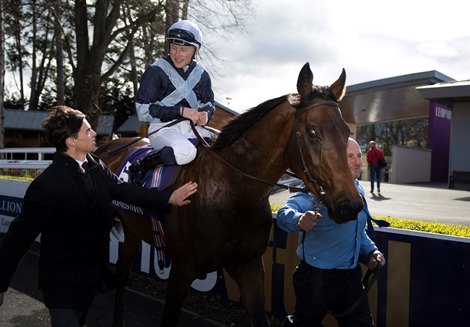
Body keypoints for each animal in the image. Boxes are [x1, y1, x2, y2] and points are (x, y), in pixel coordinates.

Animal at [94, 62, 364, 326]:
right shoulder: (182, 270)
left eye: (345, 131)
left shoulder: (249, 268)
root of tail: (105, 147)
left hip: (132, 229)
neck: (233, 192)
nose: (350, 204)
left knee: (122, 273)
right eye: (312, 132)